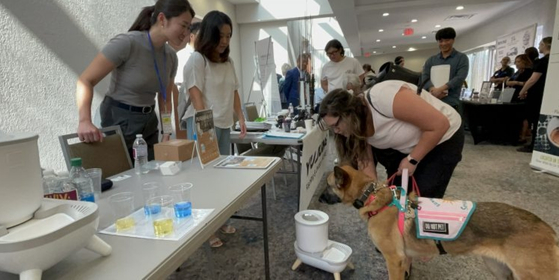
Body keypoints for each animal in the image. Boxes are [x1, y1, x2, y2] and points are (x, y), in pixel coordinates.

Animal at [320, 165, 559, 278]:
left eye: (327, 185)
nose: (319, 198)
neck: (372, 196)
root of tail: (547, 228)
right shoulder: (403, 260)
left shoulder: (394, 260)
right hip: (498, 269)